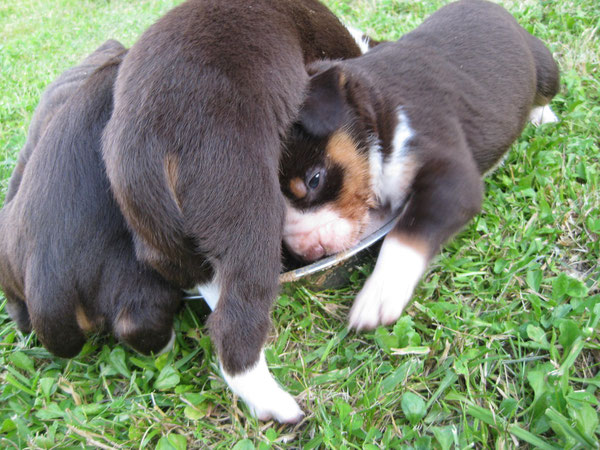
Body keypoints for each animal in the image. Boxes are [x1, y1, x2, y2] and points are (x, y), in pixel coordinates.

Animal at [101, 0, 364, 424]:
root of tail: (147, 148)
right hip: (248, 217)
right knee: (233, 329)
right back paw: (281, 408)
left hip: (161, 238)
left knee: (204, 284)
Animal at [278, 0, 560, 330]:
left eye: (314, 180)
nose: (309, 252)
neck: (378, 113)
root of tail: (492, 7)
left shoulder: (451, 177)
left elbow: (409, 231)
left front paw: (378, 295)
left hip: (545, 67)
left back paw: (543, 116)